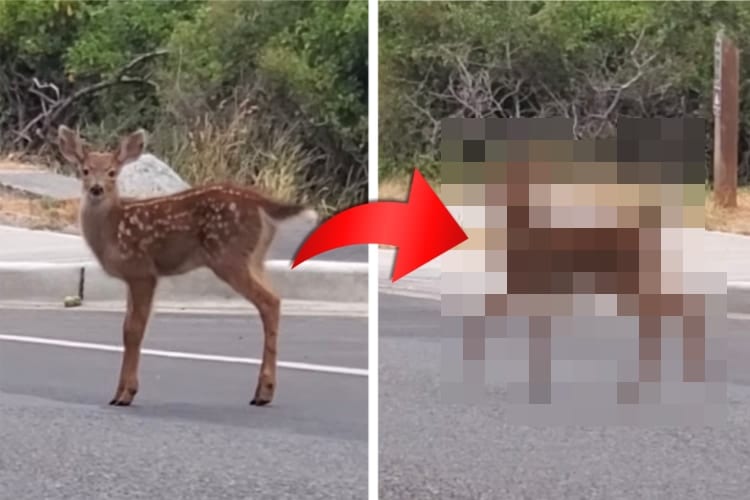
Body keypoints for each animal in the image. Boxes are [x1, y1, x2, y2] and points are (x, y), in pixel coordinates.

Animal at [56, 125, 318, 407]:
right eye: (85, 170)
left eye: (112, 172)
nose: (96, 189)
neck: (113, 229)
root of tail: (260, 202)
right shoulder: (132, 277)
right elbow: (127, 328)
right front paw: (118, 393)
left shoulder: (142, 271)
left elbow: (134, 330)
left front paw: (126, 394)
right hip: (255, 258)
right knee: (275, 298)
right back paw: (263, 391)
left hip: (229, 255)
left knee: (269, 302)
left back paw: (264, 393)